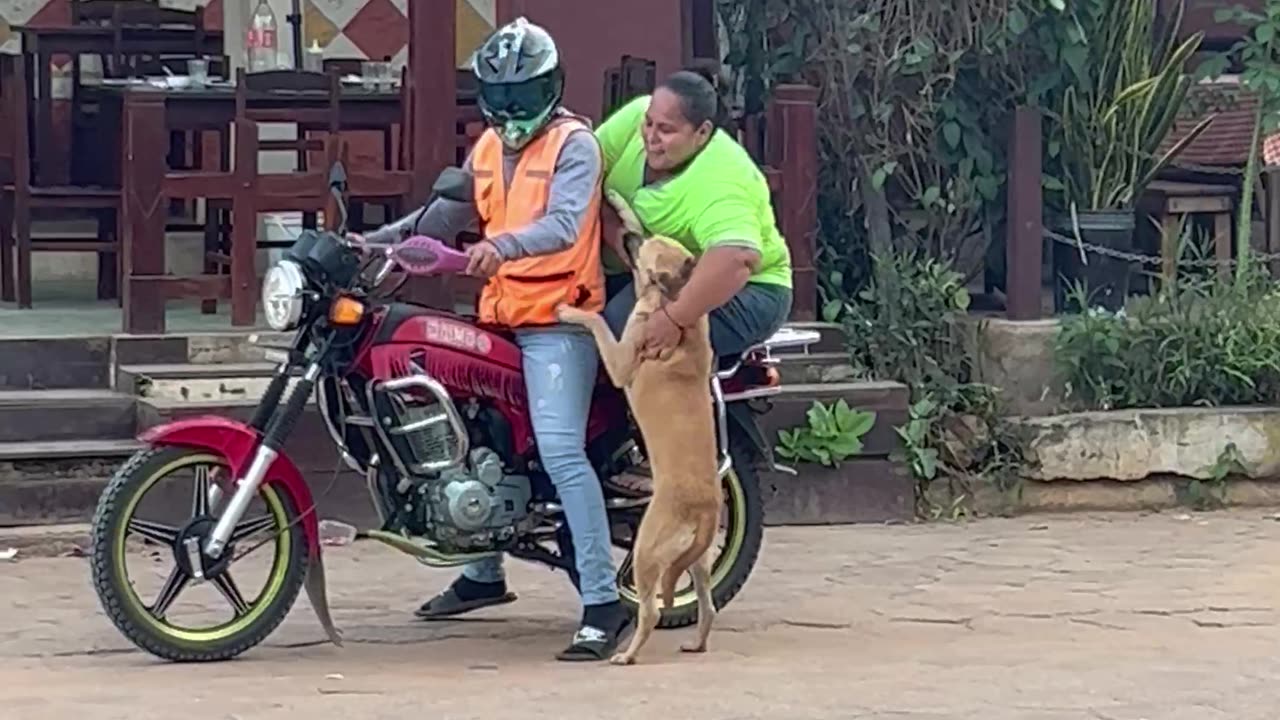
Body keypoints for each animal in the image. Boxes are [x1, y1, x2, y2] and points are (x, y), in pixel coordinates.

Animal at [558, 202, 727, 661]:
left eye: (646, 249)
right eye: (650, 236)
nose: (629, 236)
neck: (671, 300)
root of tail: (705, 509)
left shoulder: (619, 359)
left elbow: (597, 321)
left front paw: (572, 312)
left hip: (646, 551)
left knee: (650, 611)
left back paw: (627, 654)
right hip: (696, 560)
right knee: (707, 606)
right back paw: (696, 644)